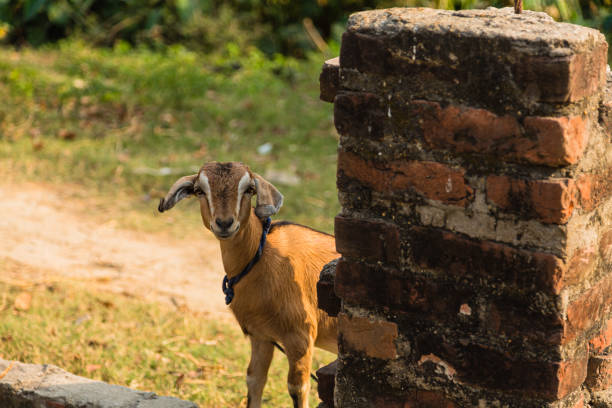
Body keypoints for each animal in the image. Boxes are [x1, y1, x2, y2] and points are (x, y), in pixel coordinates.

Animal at [158, 162, 340, 408]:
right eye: (199, 190)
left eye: (248, 189)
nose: (225, 223)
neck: (261, 256)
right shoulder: (260, 335)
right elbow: (254, 380)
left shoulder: (300, 338)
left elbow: (298, 389)